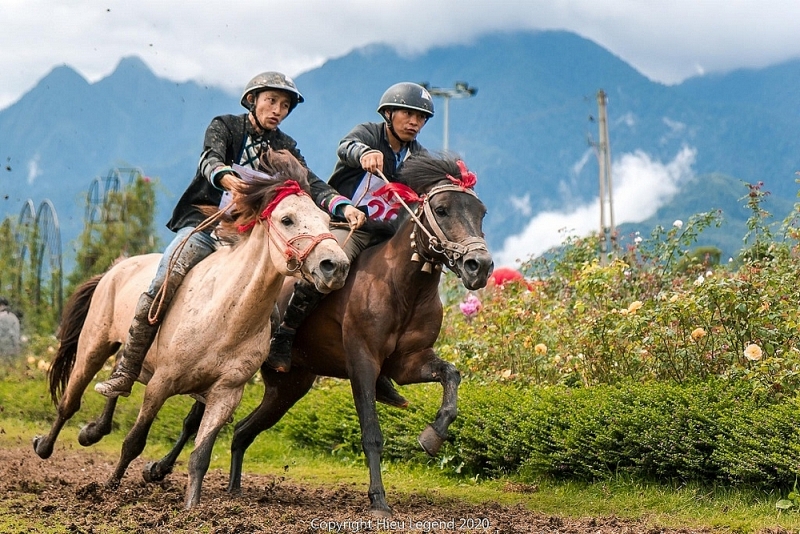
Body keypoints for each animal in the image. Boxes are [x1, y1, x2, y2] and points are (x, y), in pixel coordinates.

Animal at [32, 151, 350, 510]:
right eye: (287, 219)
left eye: (325, 221)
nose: (335, 266)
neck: (226, 314)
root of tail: (116, 267)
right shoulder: (162, 382)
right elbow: (135, 440)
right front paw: (110, 486)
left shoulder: (227, 393)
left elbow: (200, 454)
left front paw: (191, 508)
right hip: (93, 346)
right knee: (70, 400)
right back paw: (44, 445)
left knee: (119, 377)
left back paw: (93, 430)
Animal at [144, 156, 494, 520]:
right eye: (441, 209)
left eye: (481, 212)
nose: (479, 266)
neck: (402, 286)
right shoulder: (362, 362)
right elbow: (371, 432)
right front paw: (378, 500)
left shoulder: (409, 363)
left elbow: (451, 375)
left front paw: (432, 435)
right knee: (194, 422)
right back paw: (158, 469)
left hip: (289, 387)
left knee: (241, 431)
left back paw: (234, 490)